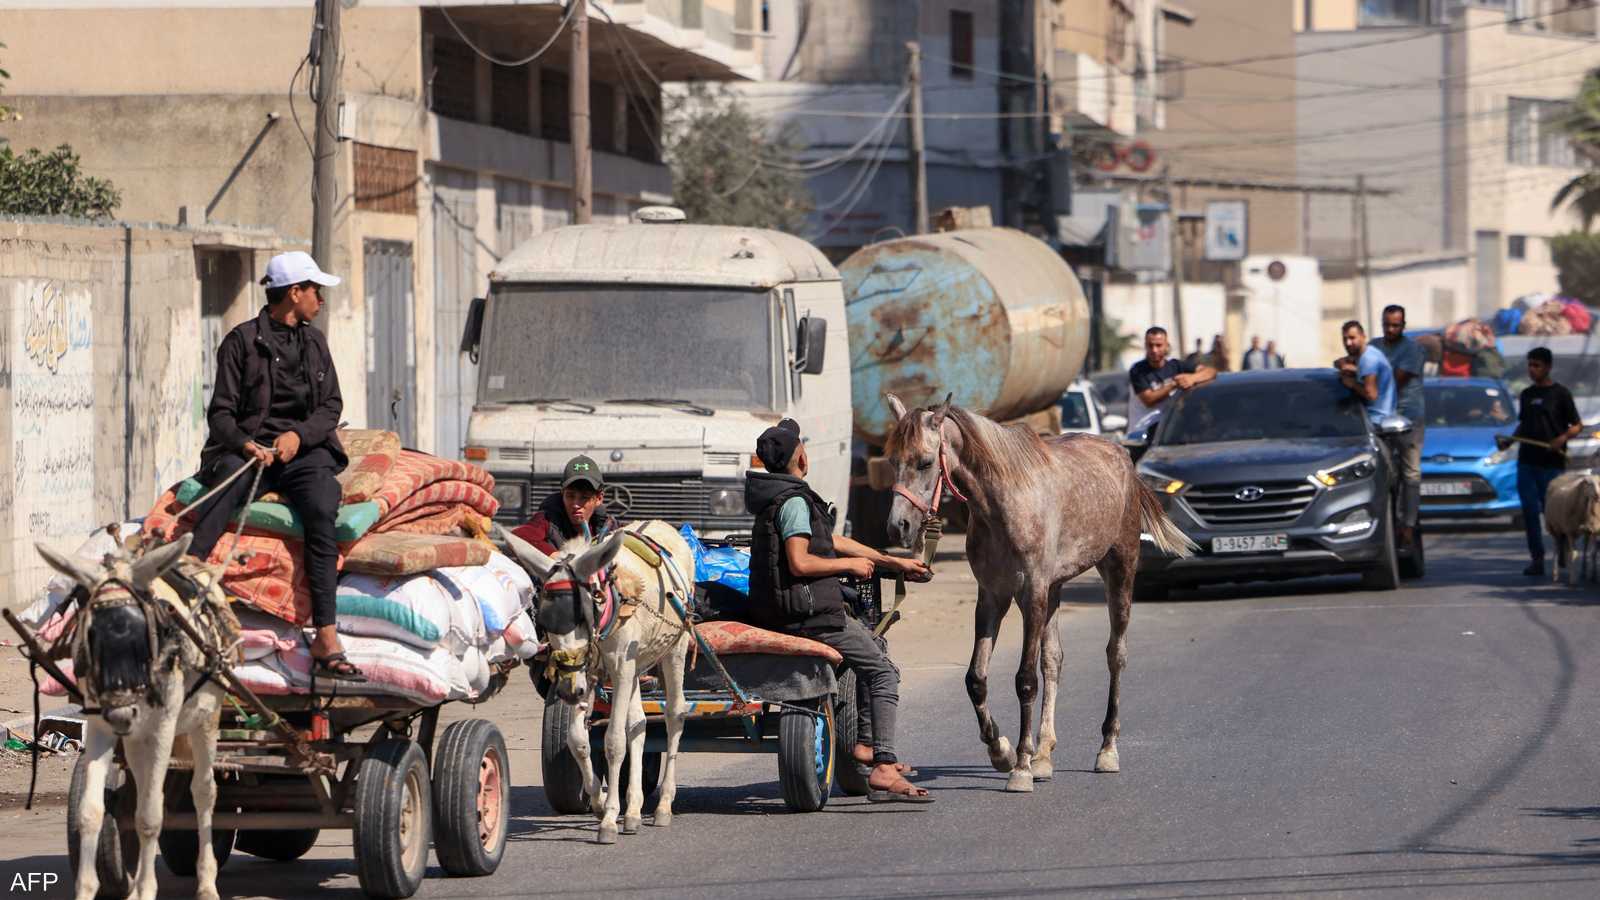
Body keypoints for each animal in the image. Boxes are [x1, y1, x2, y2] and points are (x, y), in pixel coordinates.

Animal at [37, 528, 238, 890]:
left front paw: (145, 890)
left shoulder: (162, 726)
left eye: (146, 634)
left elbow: (150, 816)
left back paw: (206, 882)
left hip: (205, 718)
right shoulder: (100, 724)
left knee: (203, 792)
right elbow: (91, 813)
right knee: (143, 788)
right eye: (90, 633)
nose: (121, 713)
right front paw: (89, 887)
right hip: (134, 739)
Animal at [502, 518, 691, 839]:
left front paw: (609, 819)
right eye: (544, 620)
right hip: (637, 663)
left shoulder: (620, 667)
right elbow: (577, 739)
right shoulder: (590, 673)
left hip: (674, 649)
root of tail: (662, 524)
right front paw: (600, 803)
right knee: (638, 723)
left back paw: (664, 804)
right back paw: (634, 810)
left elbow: (614, 741)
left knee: (674, 714)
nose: (569, 692)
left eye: (581, 614)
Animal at [883, 395, 1196, 787]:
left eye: (925, 462)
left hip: (1119, 572)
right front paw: (1001, 750)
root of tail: (1124, 459)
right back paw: (1044, 753)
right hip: (1055, 590)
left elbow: (1025, 680)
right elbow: (976, 678)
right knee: (1054, 660)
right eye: (892, 461)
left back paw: (1106, 749)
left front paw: (1020, 767)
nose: (898, 527)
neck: (1005, 503)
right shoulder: (993, 597)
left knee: (1116, 655)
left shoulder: (1032, 594)